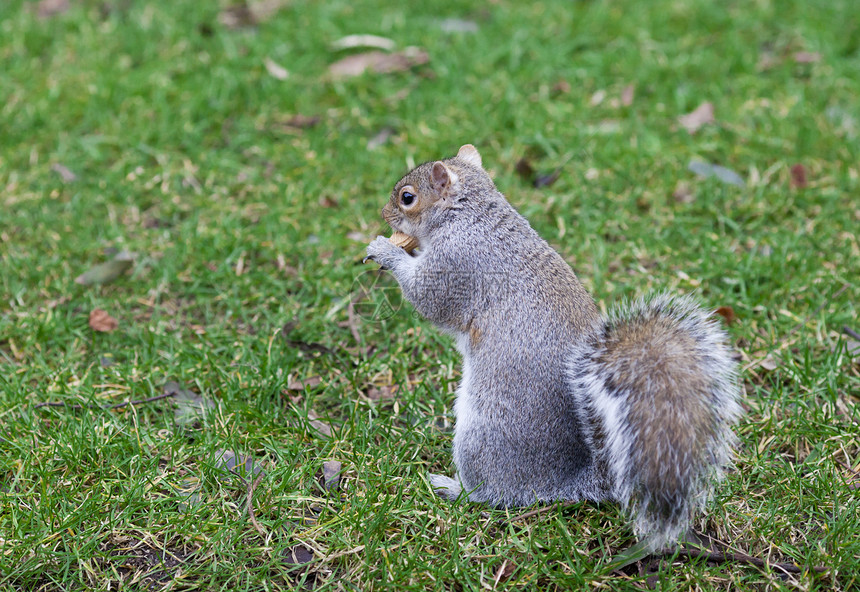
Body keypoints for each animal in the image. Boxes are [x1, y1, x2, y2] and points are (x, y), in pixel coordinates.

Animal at [366, 143, 744, 552]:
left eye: (407, 198)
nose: (383, 214)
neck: (469, 213)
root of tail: (564, 482)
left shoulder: (457, 264)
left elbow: (429, 299)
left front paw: (386, 252)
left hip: (482, 436)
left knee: (490, 494)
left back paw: (453, 488)